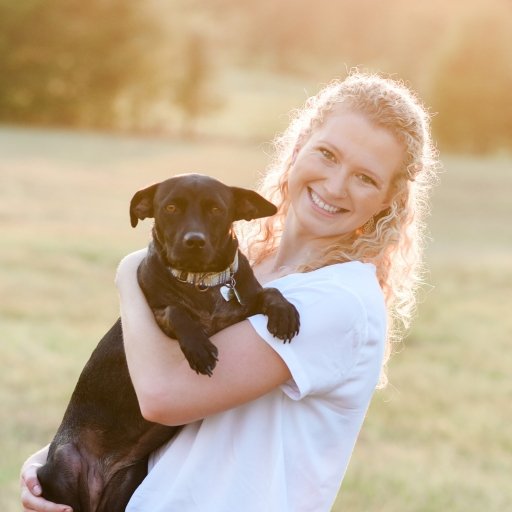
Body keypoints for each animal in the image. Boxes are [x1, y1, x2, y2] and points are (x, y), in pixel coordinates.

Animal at [37, 174, 300, 512]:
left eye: (216, 209)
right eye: (171, 208)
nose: (194, 241)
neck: (201, 282)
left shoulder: (244, 305)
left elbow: (269, 293)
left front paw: (284, 313)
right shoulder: (156, 316)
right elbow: (176, 311)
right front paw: (199, 349)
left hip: (126, 482)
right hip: (63, 465)